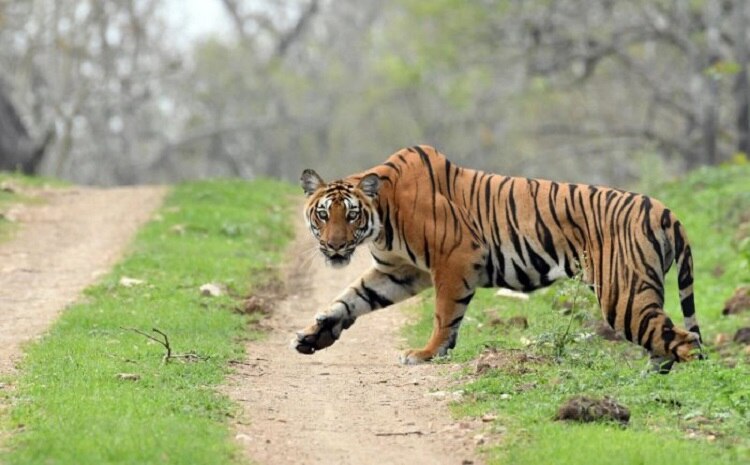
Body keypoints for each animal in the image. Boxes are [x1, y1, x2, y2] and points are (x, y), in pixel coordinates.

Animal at [294, 143, 704, 372]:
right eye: (323, 215)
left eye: (350, 215)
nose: (334, 247)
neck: (381, 217)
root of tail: (667, 212)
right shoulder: (399, 271)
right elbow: (350, 300)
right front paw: (313, 336)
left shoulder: (454, 258)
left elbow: (444, 315)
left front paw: (427, 354)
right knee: (668, 341)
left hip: (624, 293)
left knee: (686, 341)